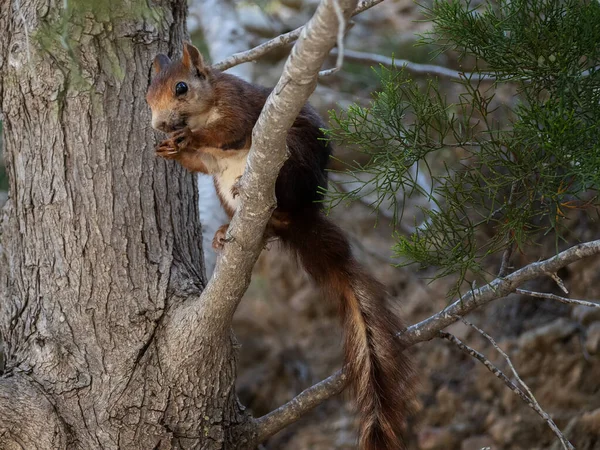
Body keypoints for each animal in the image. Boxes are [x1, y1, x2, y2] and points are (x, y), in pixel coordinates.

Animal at [148, 43, 414, 450]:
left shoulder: (238, 106)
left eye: (181, 87)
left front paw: (187, 138)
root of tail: (303, 216)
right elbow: (199, 162)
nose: (160, 125)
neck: (203, 108)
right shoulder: (208, 161)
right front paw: (169, 149)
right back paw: (225, 231)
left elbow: (229, 130)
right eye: (148, 93)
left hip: (289, 158)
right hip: (227, 192)